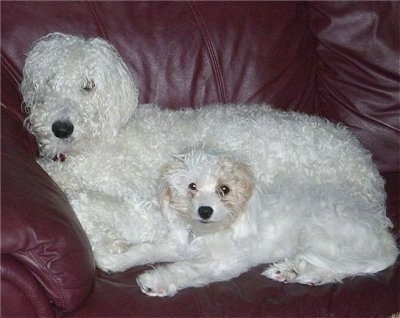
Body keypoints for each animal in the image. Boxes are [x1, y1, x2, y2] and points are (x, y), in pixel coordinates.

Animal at [22, 33, 396, 276]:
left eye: (88, 86)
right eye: (49, 82)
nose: (61, 128)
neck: (102, 138)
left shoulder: (148, 210)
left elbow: (82, 200)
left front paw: (109, 242)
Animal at [96, 146, 396, 296]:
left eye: (224, 189)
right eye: (192, 186)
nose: (205, 211)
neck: (206, 233)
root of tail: (382, 230)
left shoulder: (223, 263)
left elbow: (186, 269)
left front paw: (155, 282)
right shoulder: (178, 244)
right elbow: (147, 249)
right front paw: (113, 259)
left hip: (319, 232)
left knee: (341, 266)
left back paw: (298, 272)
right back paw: (291, 272)